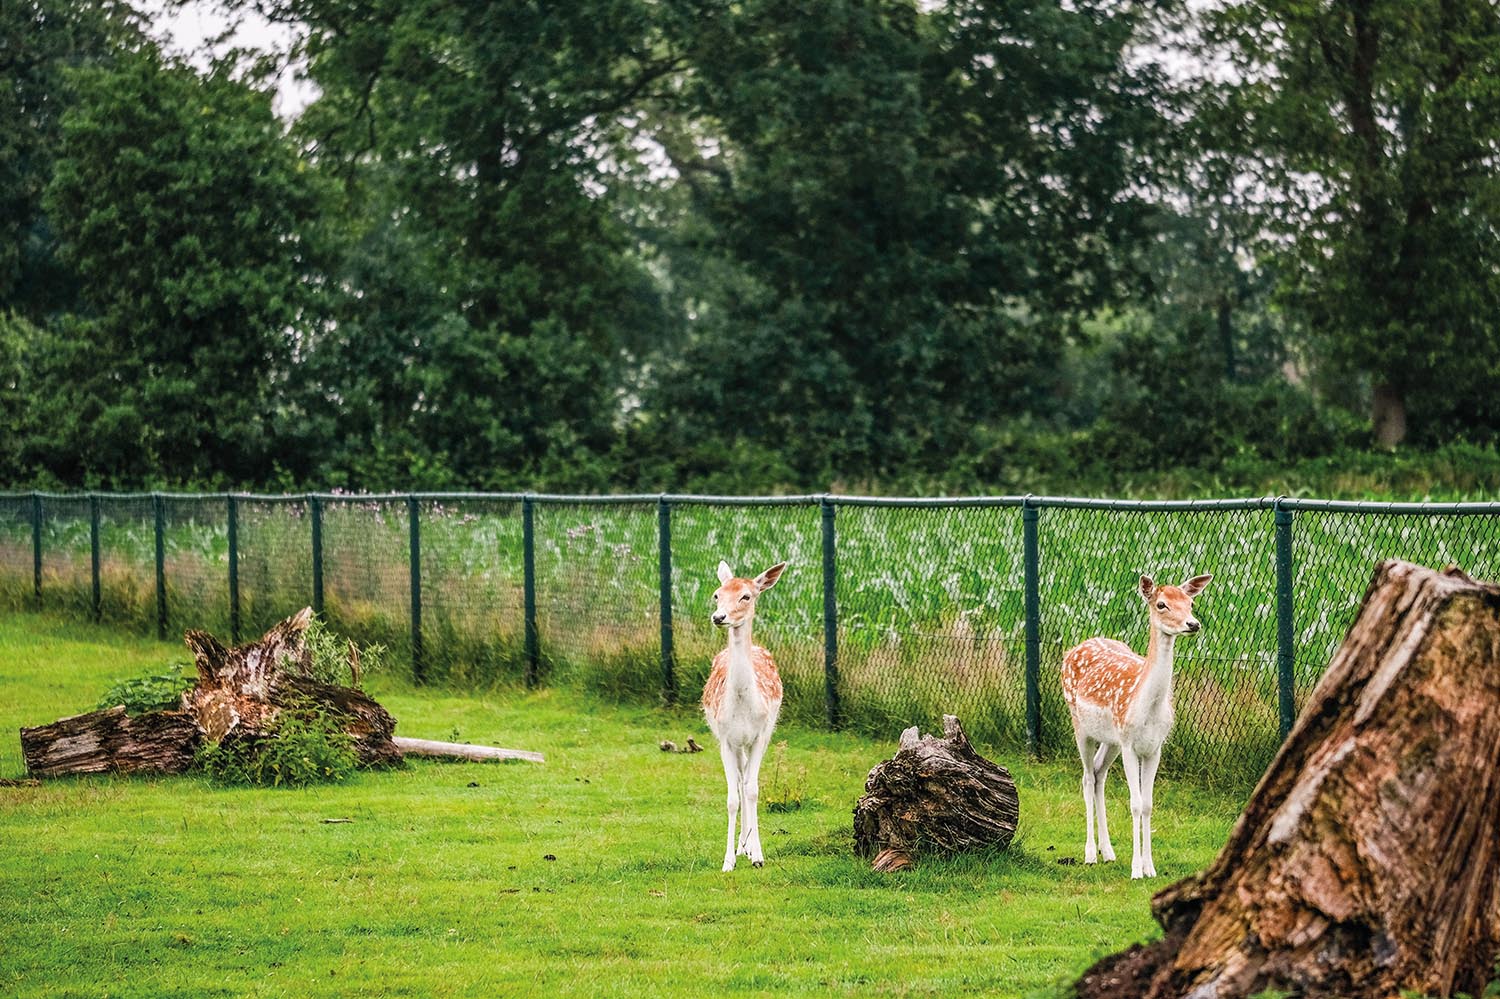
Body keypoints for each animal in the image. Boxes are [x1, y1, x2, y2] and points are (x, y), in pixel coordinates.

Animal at [702, 555, 792, 870]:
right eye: (717, 594)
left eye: (746, 596)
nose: (719, 617)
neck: (742, 707)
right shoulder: (726, 739)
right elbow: (732, 797)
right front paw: (728, 861)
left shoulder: (759, 735)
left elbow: (754, 790)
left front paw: (759, 856)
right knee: (740, 783)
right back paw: (742, 846)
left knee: (748, 783)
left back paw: (750, 848)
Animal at [1062, 573, 1212, 876]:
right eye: (1162, 604)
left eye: (1190, 602)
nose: (1193, 624)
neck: (1149, 708)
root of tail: (1072, 649)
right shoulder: (1130, 744)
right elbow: (1134, 803)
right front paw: (1135, 870)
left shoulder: (1154, 747)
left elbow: (1148, 805)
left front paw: (1149, 868)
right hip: (1080, 723)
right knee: (1086, 776)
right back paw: (1090, 853)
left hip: (1112, 740)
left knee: (1099, 773)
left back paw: (1108, 851)